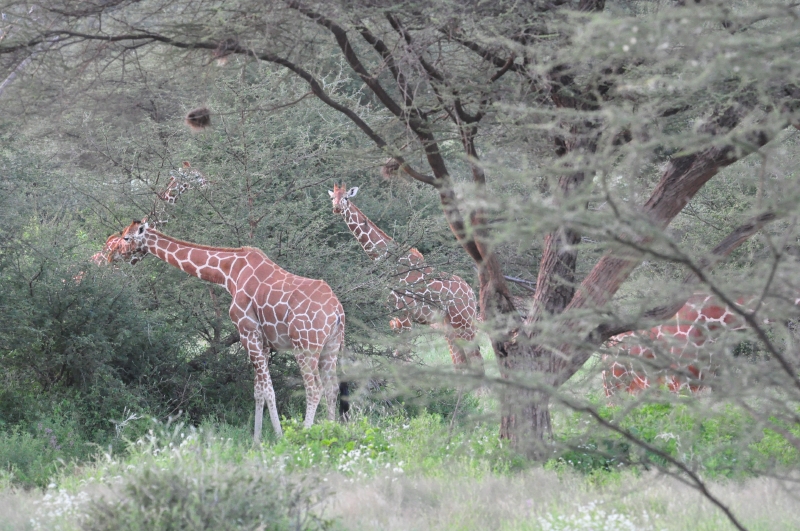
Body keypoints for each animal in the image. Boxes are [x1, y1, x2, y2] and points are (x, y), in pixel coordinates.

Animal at [113, 220, 345, 442]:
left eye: (126, 237)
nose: (115, 253)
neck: (229, 273)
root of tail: (336, 311)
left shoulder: (247, 331)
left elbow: (268, 390)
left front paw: (278, 438)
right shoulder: (262, 342)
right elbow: (259, 390)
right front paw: (256, 440)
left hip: (305, 346)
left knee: (314, 388)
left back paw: (305, 435)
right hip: (331, 346)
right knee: (332, 388)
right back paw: (331, 432)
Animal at [329, 184, 483, 373]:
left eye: (346, 197)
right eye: (332, 198)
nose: (336, 208)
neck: (390, 262)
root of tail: (471, 294)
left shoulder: (404, 316)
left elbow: (405, 358)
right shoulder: (395, 319)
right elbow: (398, 357)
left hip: (463, 321)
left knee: (475, 358)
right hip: (450, 325)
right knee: (461, 361)